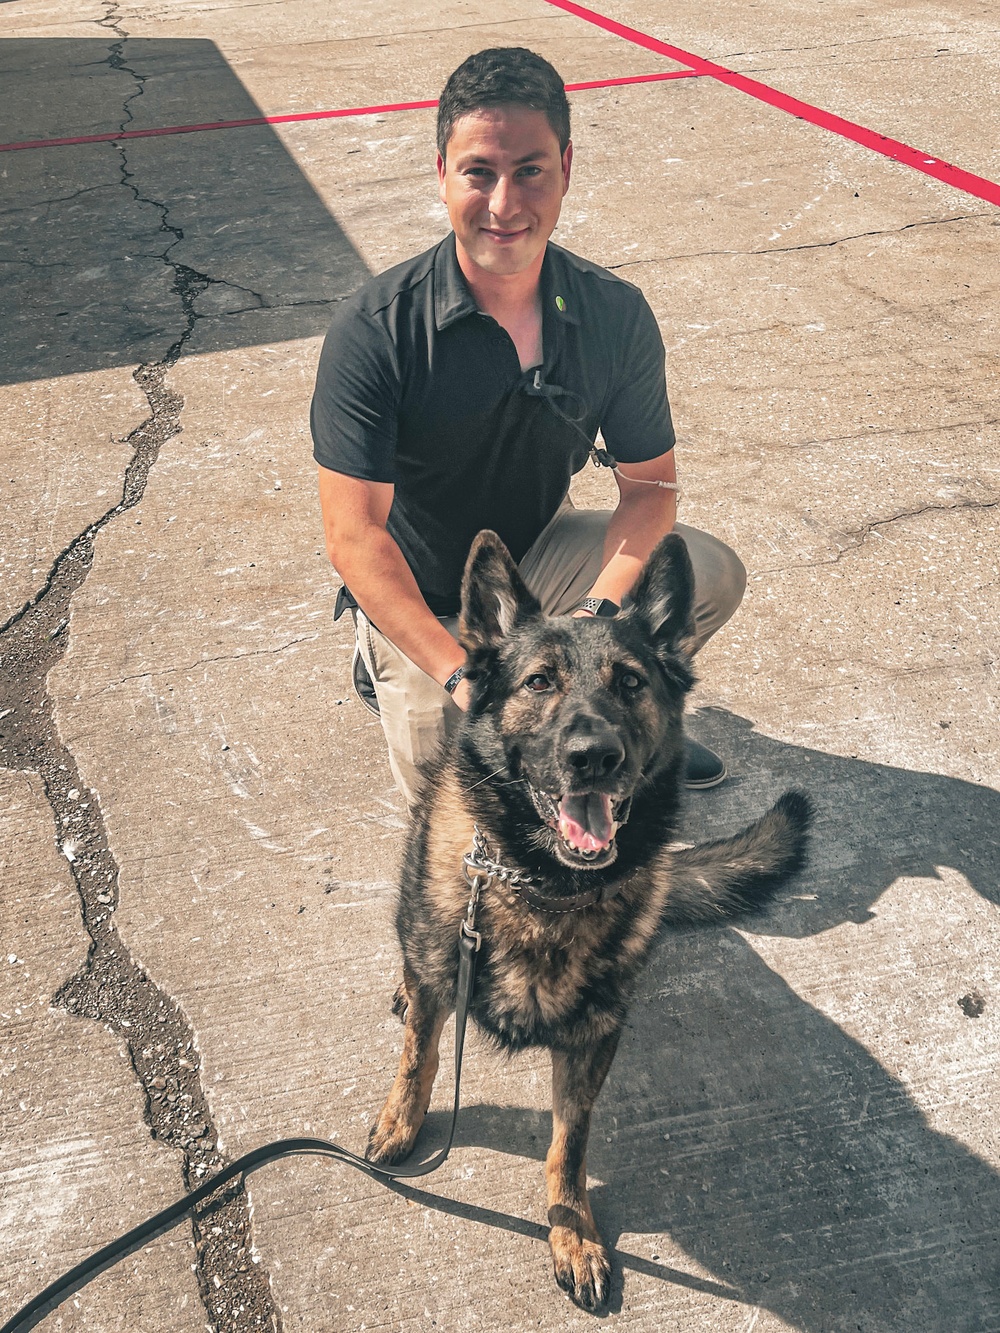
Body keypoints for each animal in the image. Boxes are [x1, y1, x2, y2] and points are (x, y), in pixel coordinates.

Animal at [368, 525, 816, 1306]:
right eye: (539, 682)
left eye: (631, 682)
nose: (593, 756)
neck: (541, 882)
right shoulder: (441, 968)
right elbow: (420, 1056)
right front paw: (402, 1120)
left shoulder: (593, 1037)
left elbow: (568, 1146)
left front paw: (572, 1231)